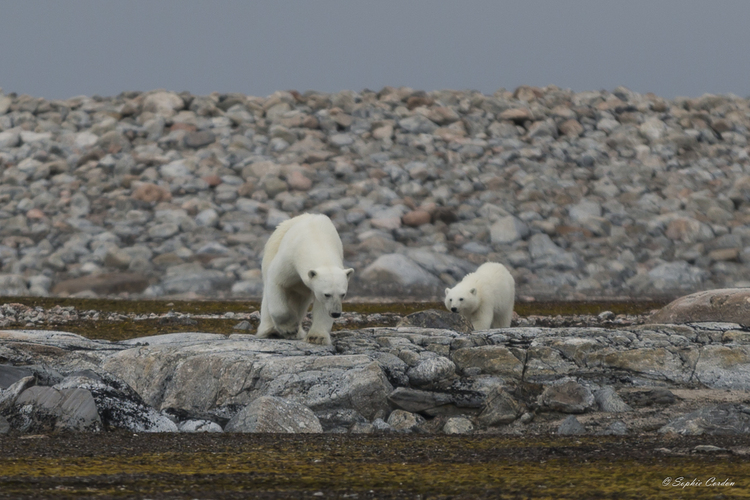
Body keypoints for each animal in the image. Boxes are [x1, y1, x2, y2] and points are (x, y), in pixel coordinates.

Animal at [258, 213, 354, 346]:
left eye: (343, 294)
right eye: (327, 294)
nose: (336, 313)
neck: (316, 240)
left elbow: (322, 307)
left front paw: (317, 337)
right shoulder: (290, 259)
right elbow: (277, 282)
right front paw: (289, 328)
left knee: (299, 298)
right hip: (272, 248)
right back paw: (271, 331)